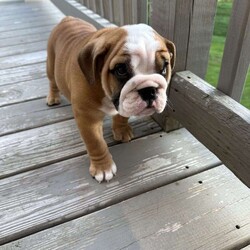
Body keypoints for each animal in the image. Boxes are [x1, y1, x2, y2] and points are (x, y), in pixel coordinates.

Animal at [47, 16, 176, 183]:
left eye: (164, 68)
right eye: (121, 70)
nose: (149, 90)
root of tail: (67, 19)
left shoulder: (123, 102)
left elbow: (122, 116)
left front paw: (121, 130)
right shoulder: (87, 117)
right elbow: (96, 143)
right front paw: (103, 167)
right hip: (50, 64)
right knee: (52, 82)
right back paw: (53, 97)